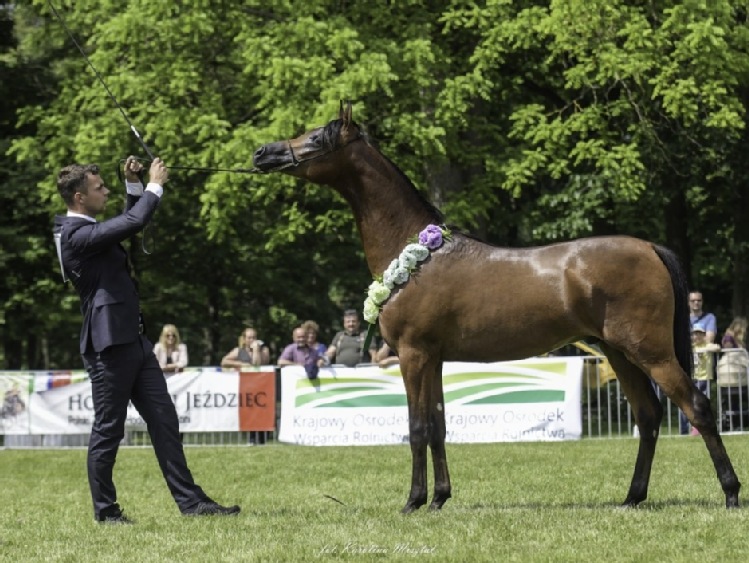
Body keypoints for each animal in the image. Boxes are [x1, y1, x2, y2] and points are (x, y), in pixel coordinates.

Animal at [250, 100, 736, 512]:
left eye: (317, 137)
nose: (262, 153)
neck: (417, 252)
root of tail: (650, 248)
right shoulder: (434, 358)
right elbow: (439, 426)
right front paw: (439, 499)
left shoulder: (412, 354)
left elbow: (416, 427)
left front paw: (413, 501)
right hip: (619, 352)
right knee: (649, 416)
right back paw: (632, 497)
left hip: (650, 352)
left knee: (697, 407)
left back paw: (731, 494)